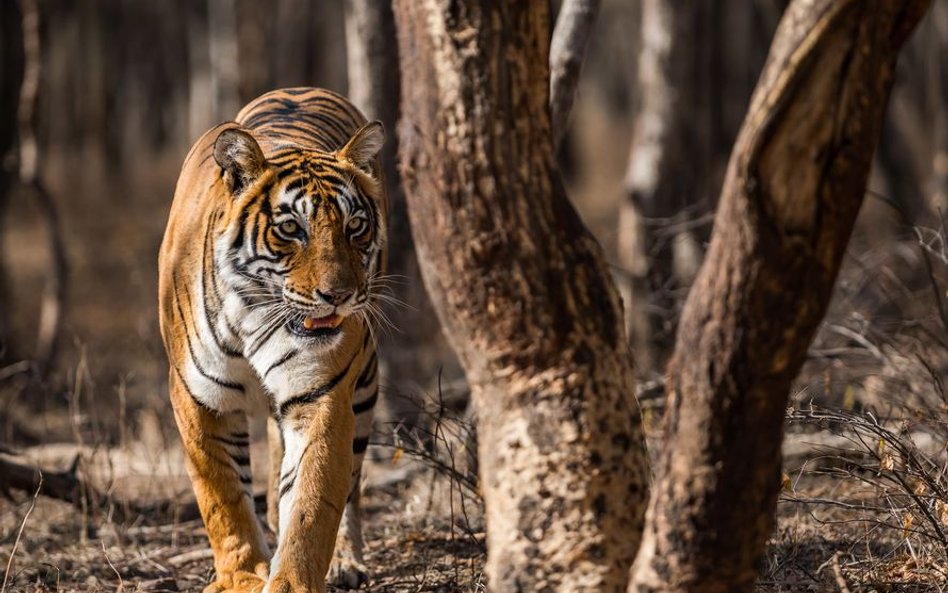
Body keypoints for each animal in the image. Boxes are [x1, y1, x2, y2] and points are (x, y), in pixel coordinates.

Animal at [157, 88, 386, 592]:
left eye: (355, 226)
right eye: (290, 229)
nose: (339, 296)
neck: (252, 317)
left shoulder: (323, 394)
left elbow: (312, 501)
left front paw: (292, 579)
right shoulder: (198, 397)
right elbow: (223, 497)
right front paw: (242, 575)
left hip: (363, 384)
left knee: (351, 483)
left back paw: (345, 561)